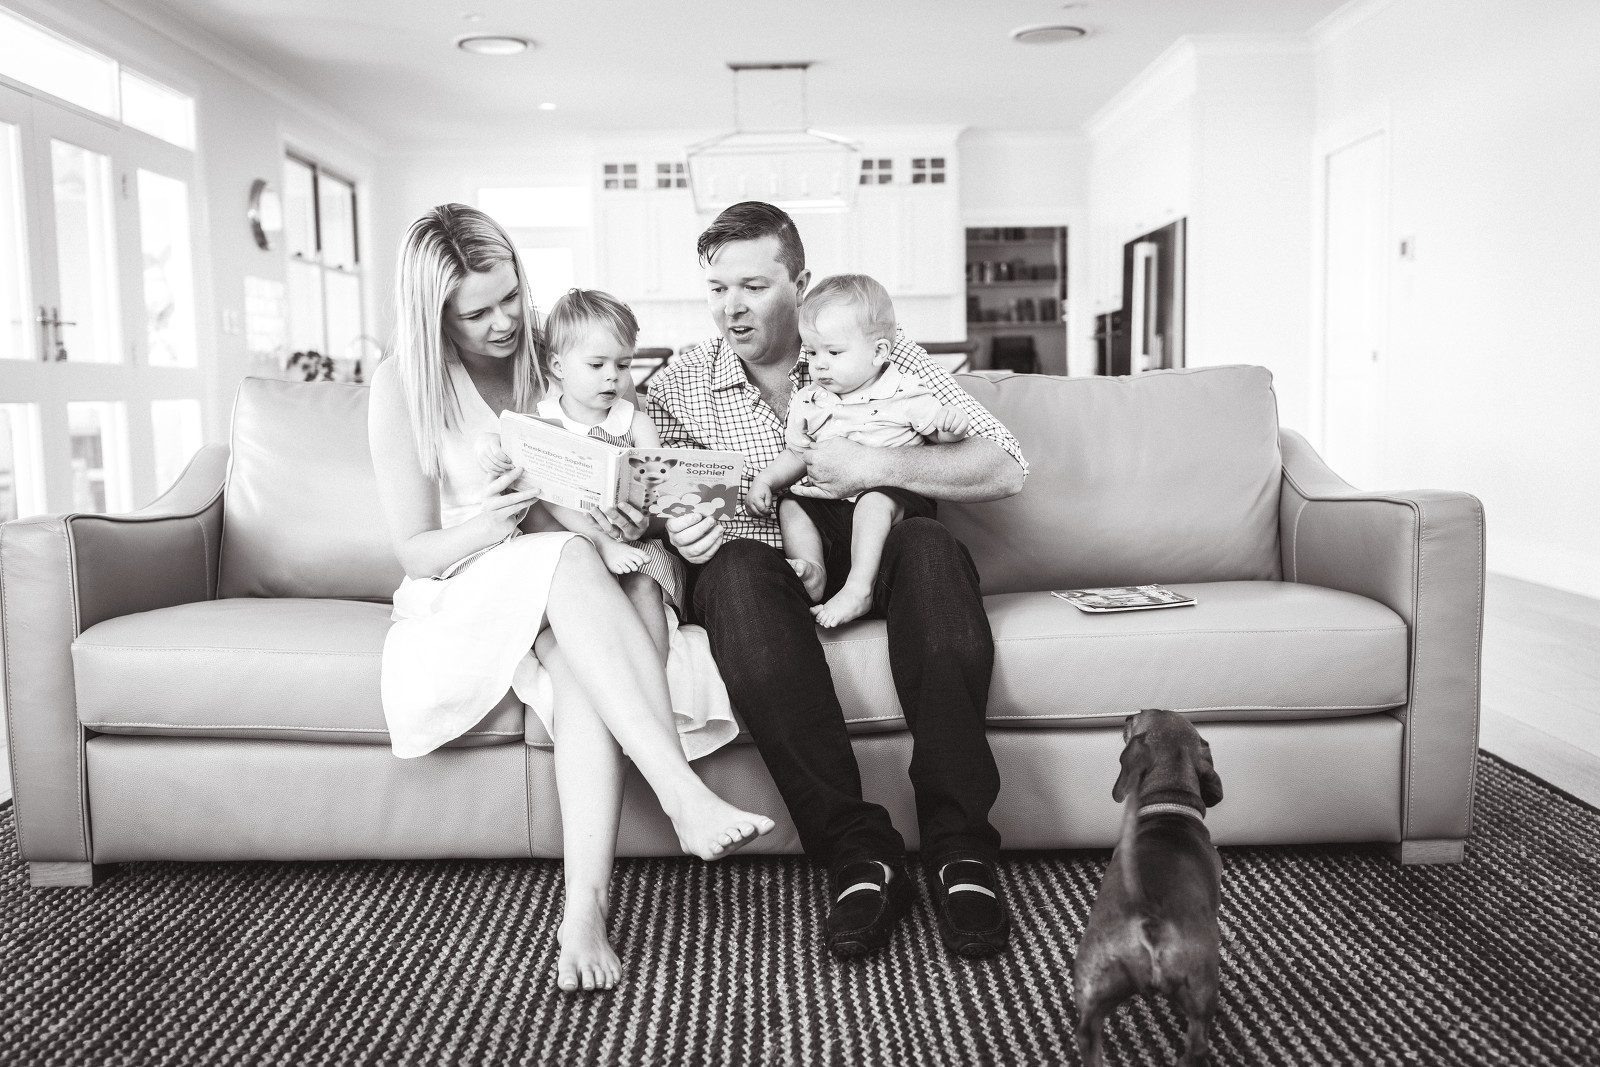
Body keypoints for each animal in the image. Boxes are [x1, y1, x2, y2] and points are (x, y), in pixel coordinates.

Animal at [1073, 709, 1225, 1067]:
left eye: (1138, 717)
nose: (1127, 715)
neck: (1169, 804)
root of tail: (1148, 915)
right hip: (1202, 987)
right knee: (1198, 1044)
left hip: (1097, 985)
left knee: (1088, 1035)